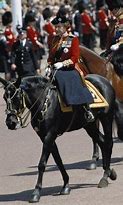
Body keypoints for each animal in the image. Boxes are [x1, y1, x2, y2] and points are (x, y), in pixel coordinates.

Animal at [0, 74, 117, 203]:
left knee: (108, 143)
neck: (44, 102)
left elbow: (42, 164)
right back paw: (109, 171)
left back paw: (105, 177)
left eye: (16, 97)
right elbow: (58, 160)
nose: (10, 123)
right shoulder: (45, 137)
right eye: (4, 97)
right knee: (102, 141)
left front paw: (36, 192)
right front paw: (66, 185)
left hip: (106, 118)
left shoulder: (49, 136)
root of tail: (104, 80)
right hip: (89, 125)